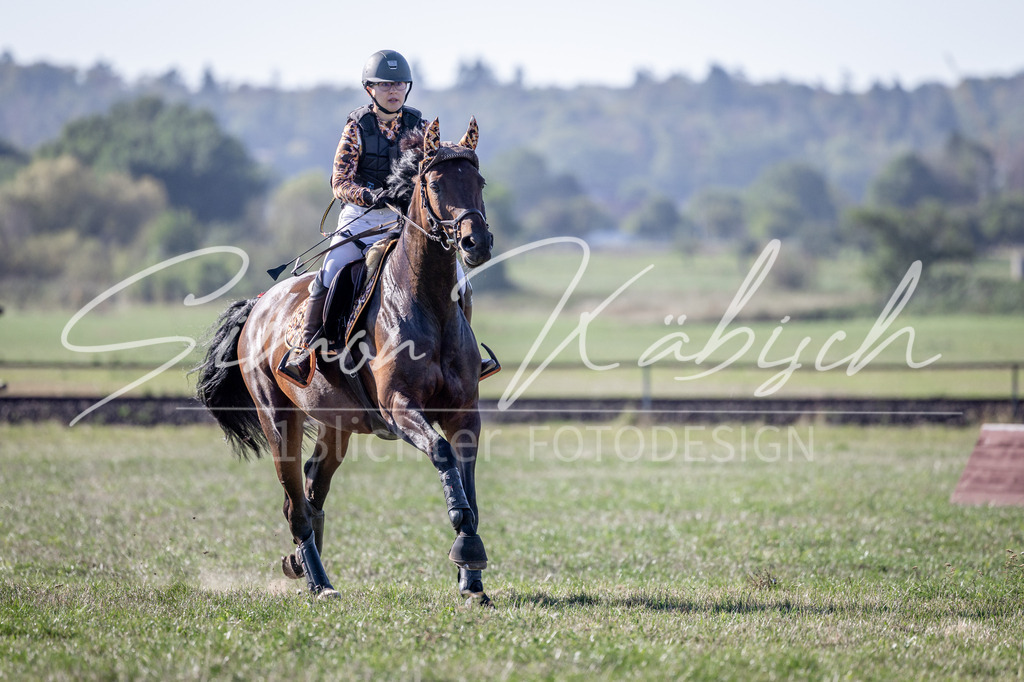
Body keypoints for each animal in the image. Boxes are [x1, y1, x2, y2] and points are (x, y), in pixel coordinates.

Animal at [194, 118, 495, 604]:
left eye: (479, 182)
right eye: (433, 183)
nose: (476, 242)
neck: (428, 303)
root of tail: (258, 306)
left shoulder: (464, 412)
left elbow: (466, 483)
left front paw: (472, 578)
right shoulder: (399, 408)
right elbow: (443, 454)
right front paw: (467, 549)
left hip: (336, 424)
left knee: (314, 488)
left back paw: (302, 565)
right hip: (278, 421)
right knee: (295, 504)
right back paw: (320, 583)